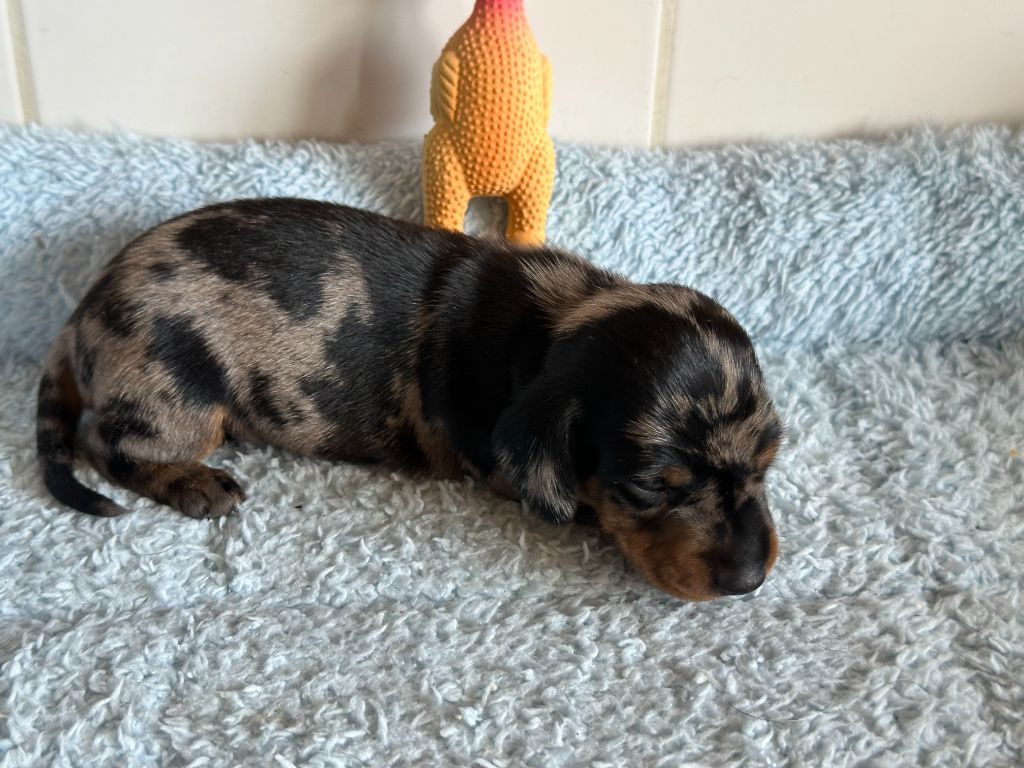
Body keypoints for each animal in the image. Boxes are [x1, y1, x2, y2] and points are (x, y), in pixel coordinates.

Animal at [36, 198, 783, 601]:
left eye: (769, 460)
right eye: (650, 487)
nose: (751, 579)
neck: (553, 326)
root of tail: (82, 312)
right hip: (180, 395)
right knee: (106, 441)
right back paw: (194, 483)